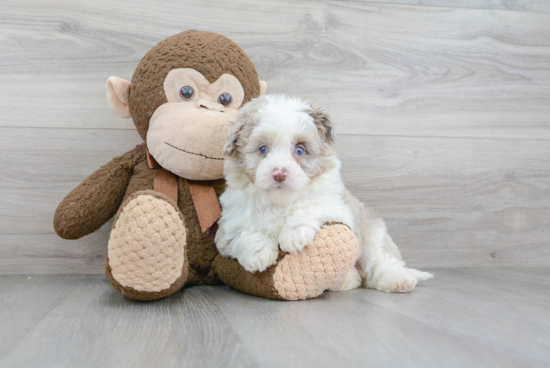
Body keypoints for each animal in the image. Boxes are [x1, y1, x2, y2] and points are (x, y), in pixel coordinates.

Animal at [216, 95, 436, 294]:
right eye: (262, 149)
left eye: (300, 150)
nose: (279, 173)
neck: (280, 201)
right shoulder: (227, 228)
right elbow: (242, 234)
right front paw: (258, 253)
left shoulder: (338, 207)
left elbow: (312, 207)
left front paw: (294, 234)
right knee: (359, 277)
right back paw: (345, 281)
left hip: (372, 236)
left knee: (380, 262)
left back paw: (399, 280)